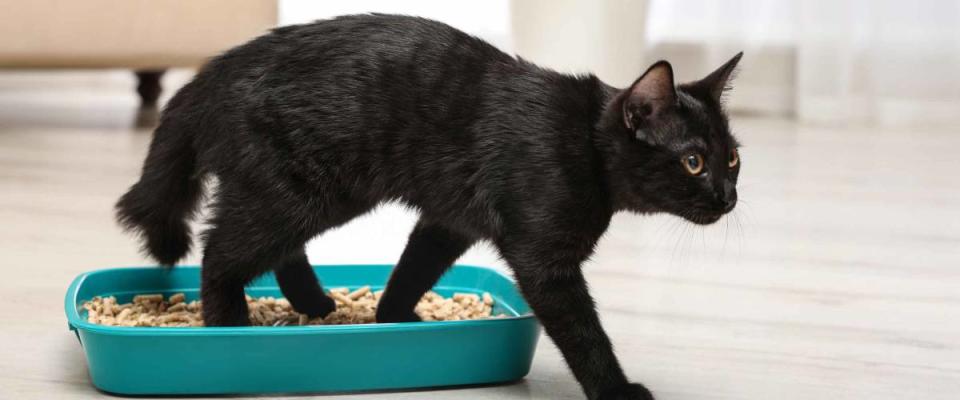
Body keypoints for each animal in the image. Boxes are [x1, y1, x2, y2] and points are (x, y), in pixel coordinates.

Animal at [114, 14, 744, 398]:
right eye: (693, 161)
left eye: (733, 159)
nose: (729, 196)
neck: (584, 144)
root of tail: (209, 76)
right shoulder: (546, 263)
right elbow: (586, 332)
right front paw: (617, 390)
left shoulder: (448, 221)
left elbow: (413, 268)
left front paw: (392, 316)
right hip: (299, 193)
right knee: (220, 253)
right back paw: (230, 329)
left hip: (296, 196)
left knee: (272, 250)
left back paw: (315, 304)